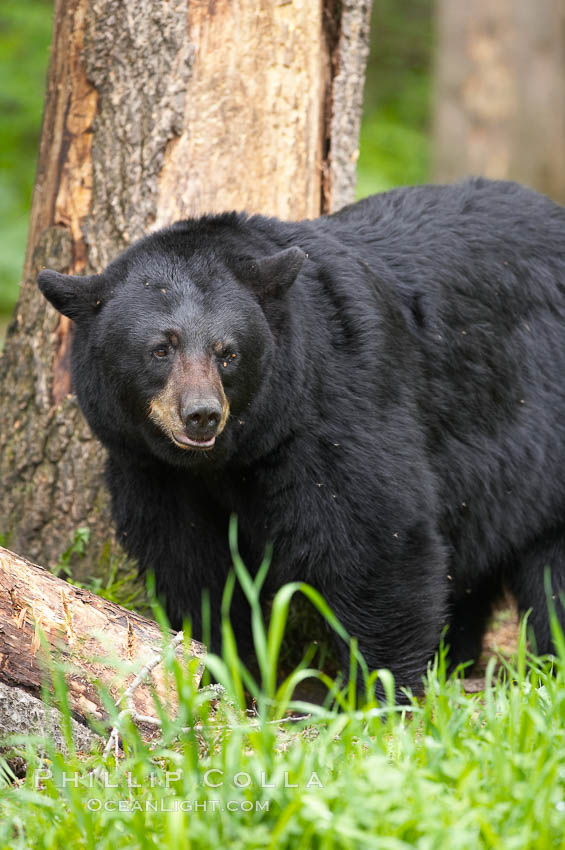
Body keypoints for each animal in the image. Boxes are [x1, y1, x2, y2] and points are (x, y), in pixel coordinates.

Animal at [38, 179, 564, 696]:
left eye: (228, 353)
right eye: (160, 349)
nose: (202, 415)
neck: (232, 456)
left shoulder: (336, 411)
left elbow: (377, 543)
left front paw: (376, 693)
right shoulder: (152, 471)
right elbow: (191, 567)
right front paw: (226, 673)